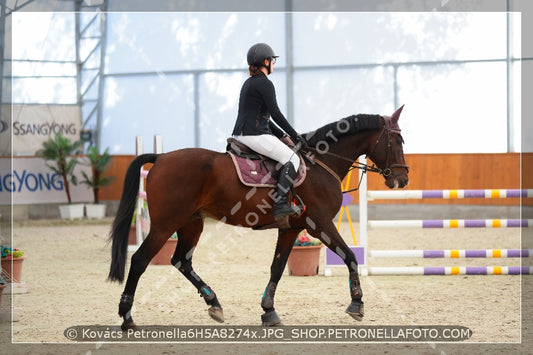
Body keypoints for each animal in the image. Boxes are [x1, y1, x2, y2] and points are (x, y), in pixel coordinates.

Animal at [107, 105, 408, 330]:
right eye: (398, 141)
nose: (402, 179)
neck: (320, 163)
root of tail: (161, 157)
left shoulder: (291, 229)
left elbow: (277, 268)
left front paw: (269, 311)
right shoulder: (319, 226)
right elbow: (350, 256)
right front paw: (357, 304)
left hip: (191, 222)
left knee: (181, 260)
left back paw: (214, 304)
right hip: (165, 225)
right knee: (140, 260)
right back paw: (127, 317)